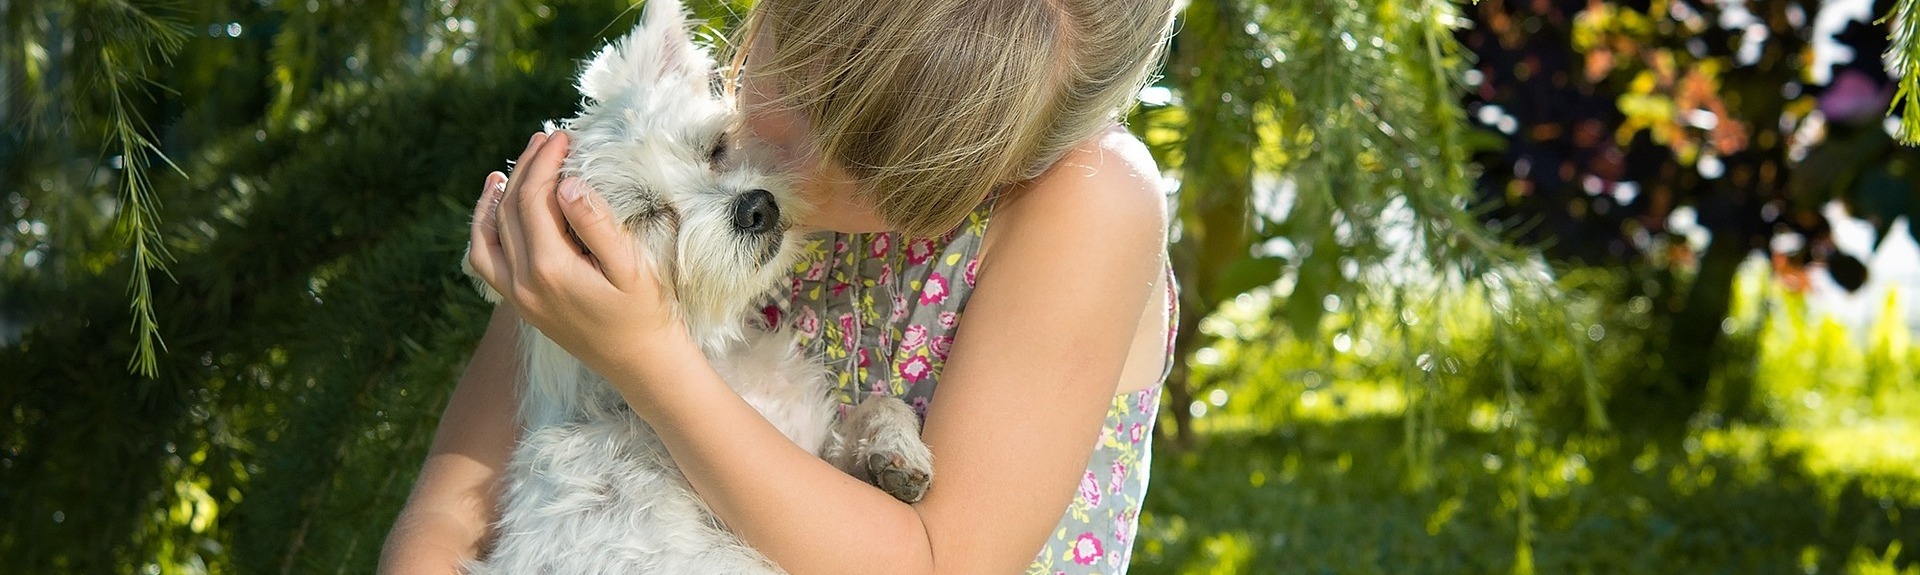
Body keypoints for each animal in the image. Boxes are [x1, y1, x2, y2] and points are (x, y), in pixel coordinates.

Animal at [468, 2, 940, 573]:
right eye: (647, 214)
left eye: (716, 148)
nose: (757, 207)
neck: (713, 356)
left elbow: (877, 405)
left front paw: (894, 450)